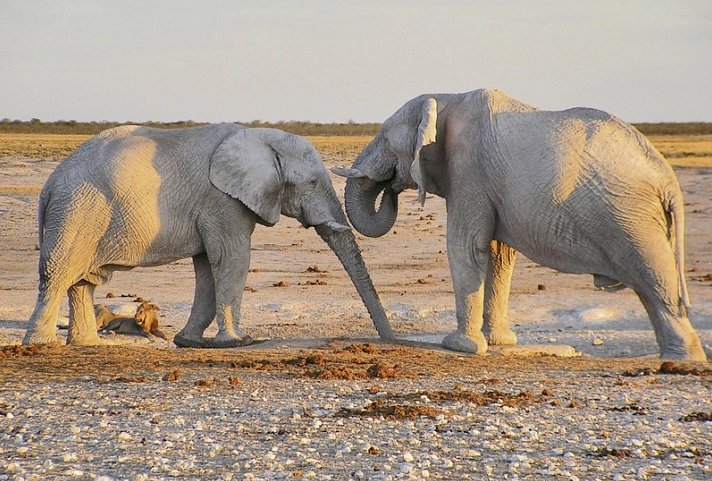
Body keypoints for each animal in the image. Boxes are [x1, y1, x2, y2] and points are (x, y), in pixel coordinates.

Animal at [23, 123, 394, 348]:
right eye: (313, 182)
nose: (390, 339)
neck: (259, 137)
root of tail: (49, 186)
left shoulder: (214, 205)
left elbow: (206, 268)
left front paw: (189, 342)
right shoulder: (222, 199)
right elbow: (232, 258)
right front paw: (237, 342)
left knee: (83, 281)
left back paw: (87, 344)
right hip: (77, 213)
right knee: (58, 274)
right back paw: (42, 345)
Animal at [334, 89, 708, 360]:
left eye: (384, 138)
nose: (393, 186)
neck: (446, 97)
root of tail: (668, 178)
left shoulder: (469, 168)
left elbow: (466, 245)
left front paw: (460, 346)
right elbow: (500, 255)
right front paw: (498, 343)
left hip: (631, 216)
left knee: (654, 278)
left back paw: (681, 360)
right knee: (650, 286)